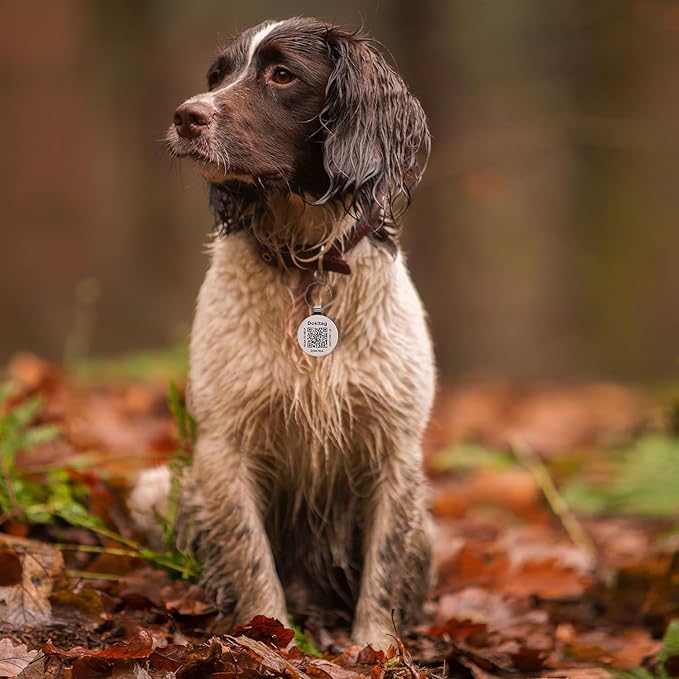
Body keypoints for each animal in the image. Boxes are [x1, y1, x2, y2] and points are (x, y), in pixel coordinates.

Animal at [129, 15, 436, 648]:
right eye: (216, 75)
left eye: (282, 74)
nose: (186, 116)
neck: (306, 262)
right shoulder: (225, 445)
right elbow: (251, 560)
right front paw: (268, 638)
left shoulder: (395, 446)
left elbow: (384, 567)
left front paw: (376, 649)